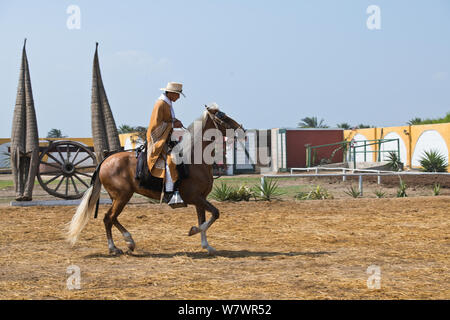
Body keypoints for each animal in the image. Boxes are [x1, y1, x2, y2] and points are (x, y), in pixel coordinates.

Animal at [66, 106, 243, 256]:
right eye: (222, 116)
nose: (241, 129)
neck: (193, 159)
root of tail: (105, 160)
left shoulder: (201, 200)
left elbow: (205, 220)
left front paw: (207, 246)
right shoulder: (195, 198)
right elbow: (215, 214)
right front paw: (193, 231)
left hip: (118, 197)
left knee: (112, 218)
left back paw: (129, 242)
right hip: (122, 196)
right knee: (108, 218)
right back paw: (114, 247)